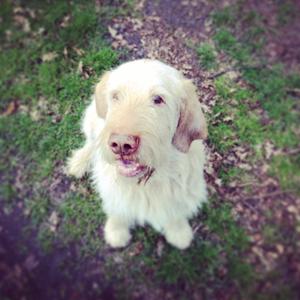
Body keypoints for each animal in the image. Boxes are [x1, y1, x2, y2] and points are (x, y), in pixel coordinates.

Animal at [67, 59, 207, 250]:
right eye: (115, 96)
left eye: (158, 99)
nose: (121, 144)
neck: (145, 183)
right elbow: (117, 210)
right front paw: (116, 231)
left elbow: (175, 212)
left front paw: (179, 232)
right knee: (91, 142)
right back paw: (79, 162)